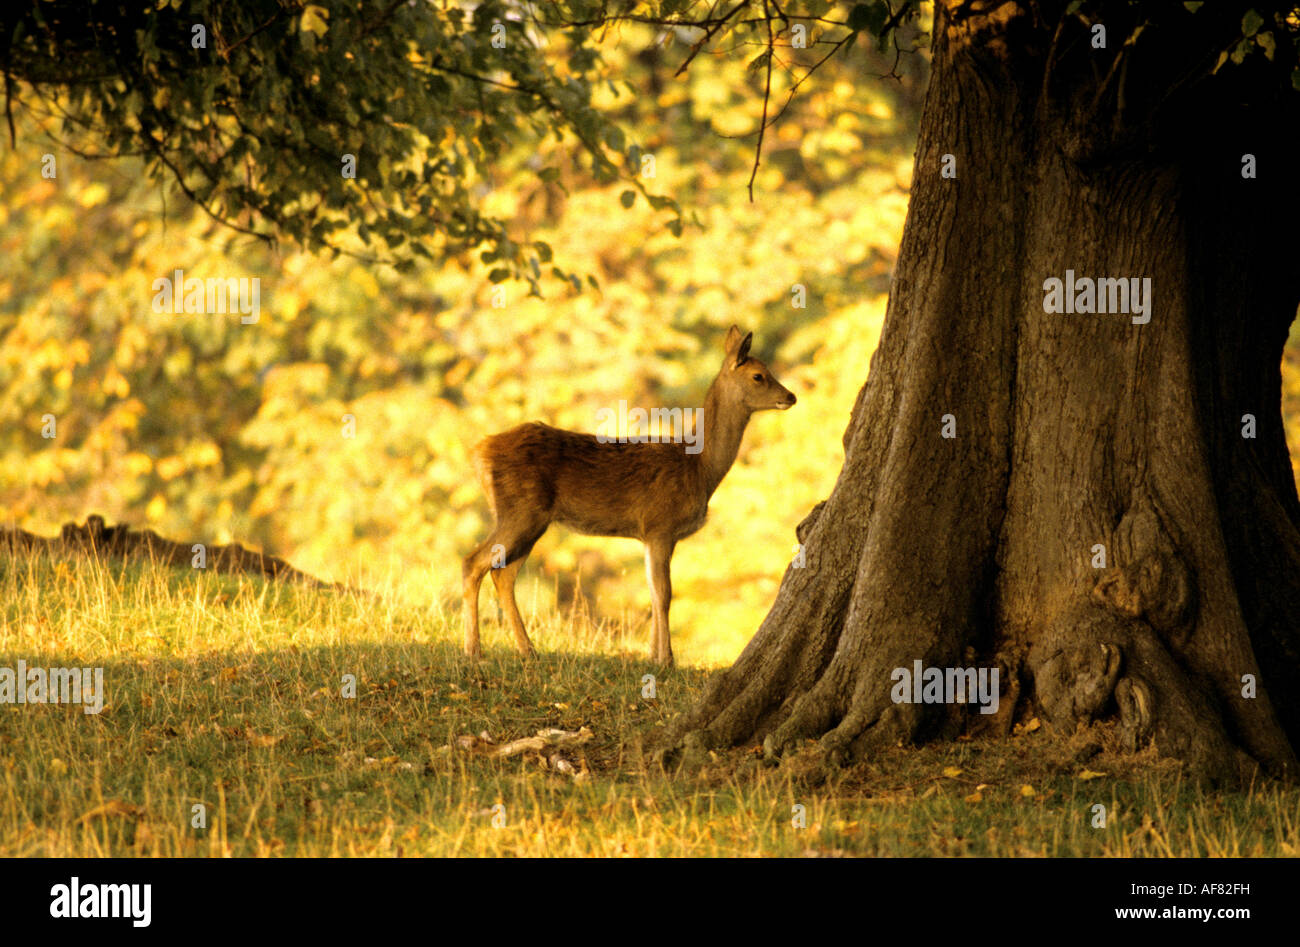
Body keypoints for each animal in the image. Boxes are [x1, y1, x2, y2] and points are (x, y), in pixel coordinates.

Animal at [461, 325, 797, 666]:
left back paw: (527, 649)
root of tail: (479, 452)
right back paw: (473, 650)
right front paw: (666, 660)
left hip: (530, 519)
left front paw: (652, 656)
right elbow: (665, 593)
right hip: (521, 511)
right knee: (473, 563)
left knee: (503, 575)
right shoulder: (660, 525)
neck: (699, 468)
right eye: (759, 375)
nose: (790, 396)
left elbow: (653, 591)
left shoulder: (650, 535)